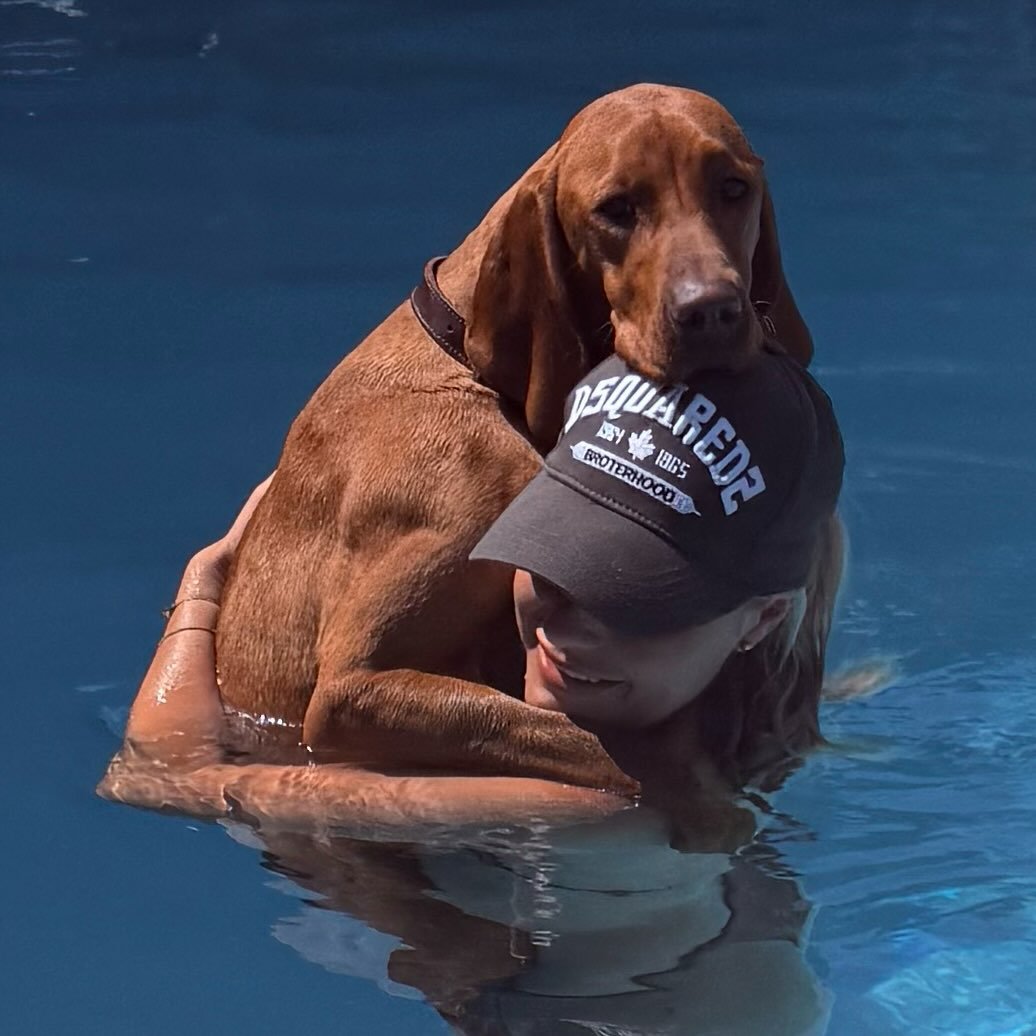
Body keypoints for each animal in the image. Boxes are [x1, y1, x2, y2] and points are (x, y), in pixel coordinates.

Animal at [215, 84, 815, 795]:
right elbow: (603, 750)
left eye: (733, 188)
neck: (468, 359)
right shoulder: (351, 690)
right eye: (616, 209)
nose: (714, 311)